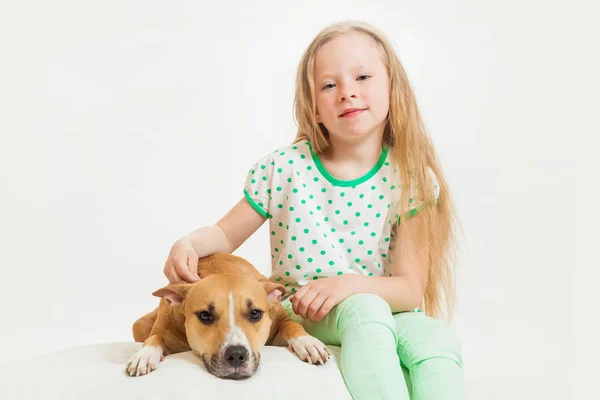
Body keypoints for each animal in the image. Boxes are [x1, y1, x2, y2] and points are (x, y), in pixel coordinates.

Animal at [126, 252, 330, 380]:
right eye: (205, 315)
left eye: (255, 313)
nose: (236, 355)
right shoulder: (164, 330)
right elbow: (155, 337)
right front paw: (145, 355)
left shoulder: (278, 326)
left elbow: (291, 324)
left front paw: (308, 342)